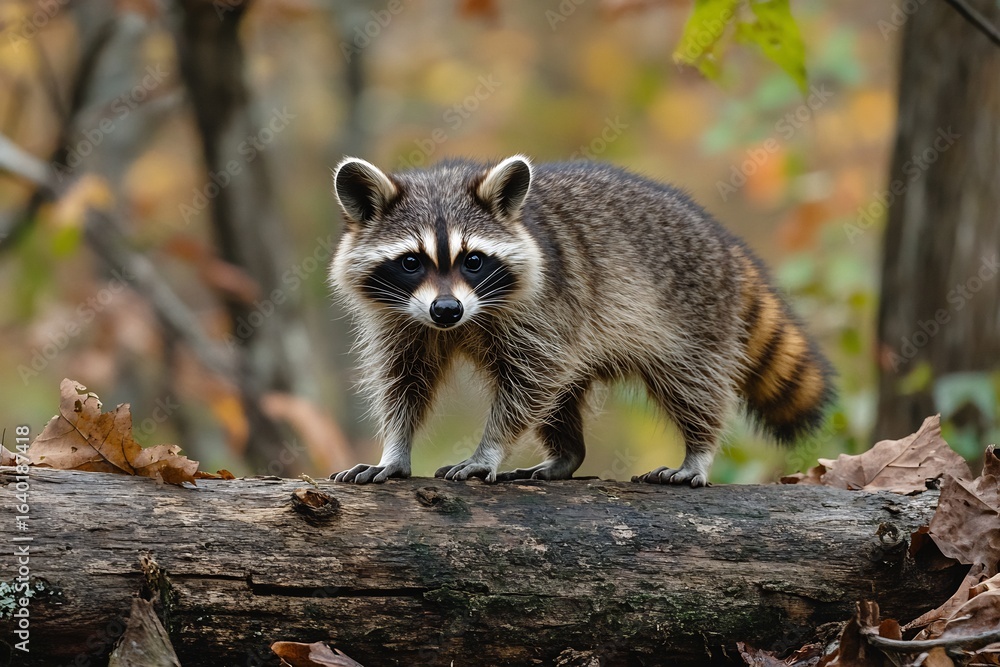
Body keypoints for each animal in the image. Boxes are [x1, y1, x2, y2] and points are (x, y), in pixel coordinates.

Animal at [329, 155, 833, 487]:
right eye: (411, 262)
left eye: (473, 260)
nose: (447, 310)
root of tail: (723, 240)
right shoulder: (401, 320)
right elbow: (404, 382)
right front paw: (395, 448)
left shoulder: (546, 308)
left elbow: (529, 383)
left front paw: (489, 448)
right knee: (562, 399)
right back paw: (567, 454)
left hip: (695, 311)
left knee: (692, 383)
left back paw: (698, 450)